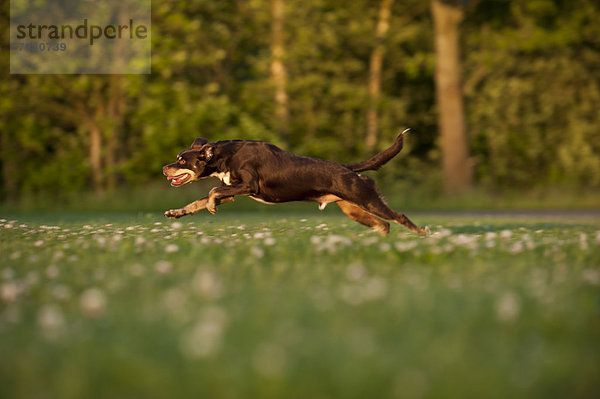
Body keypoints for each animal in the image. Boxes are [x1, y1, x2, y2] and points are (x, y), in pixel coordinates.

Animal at [162, 131, 428, 236]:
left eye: (181, 160)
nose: (164, 168)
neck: (224, 156)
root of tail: (348, 169)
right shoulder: (231, 192)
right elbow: (200, 199)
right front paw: (176, 212)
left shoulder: (249, 186)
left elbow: (212, 190)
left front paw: (210, 207)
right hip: (353, 209)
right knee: (384, 225)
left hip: (367, 199)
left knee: (399, 217)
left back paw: (422, 233)